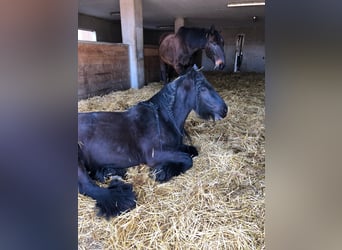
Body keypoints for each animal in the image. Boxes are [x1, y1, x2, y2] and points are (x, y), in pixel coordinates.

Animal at [77, 65, 227, 218]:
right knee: (88, 186)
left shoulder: (176, 147)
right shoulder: (155, 155)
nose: (225, 110)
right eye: (202, 88)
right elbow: (187, 159)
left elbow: (193, 151)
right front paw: (162, 172)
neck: (163, 119)